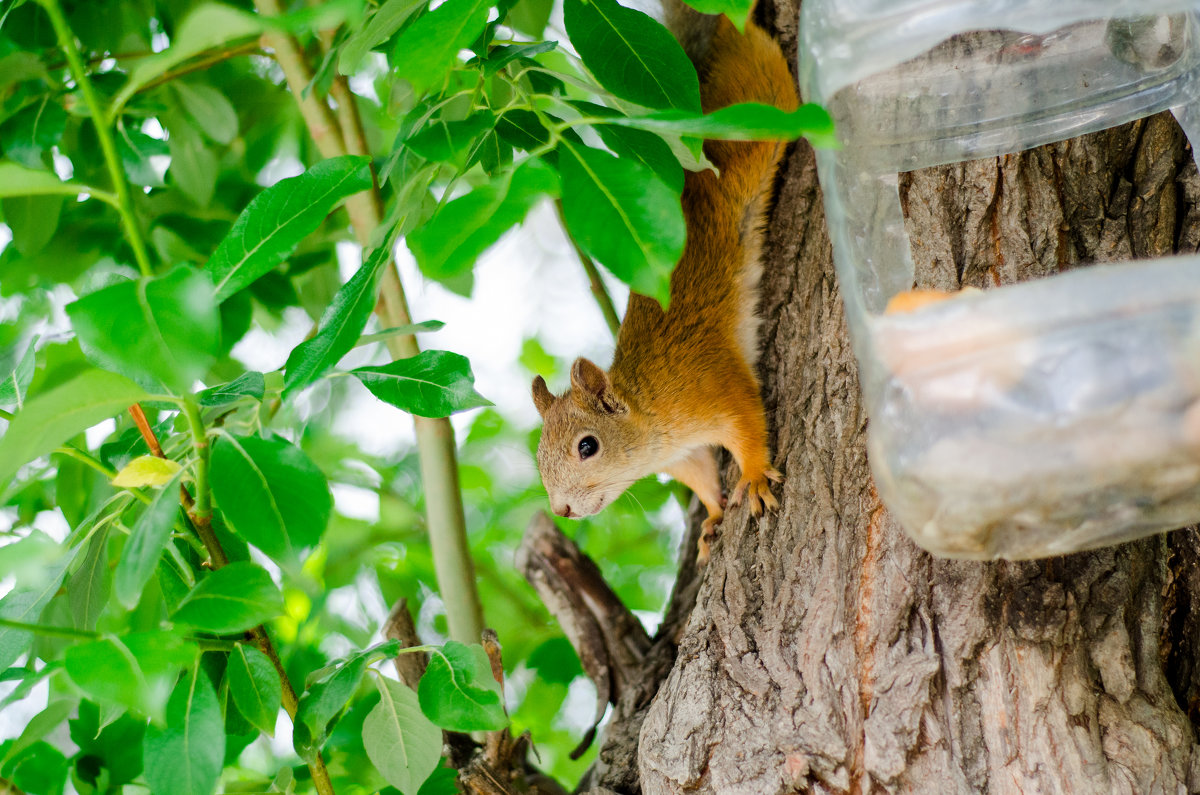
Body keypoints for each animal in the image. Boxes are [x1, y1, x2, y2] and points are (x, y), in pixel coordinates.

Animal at [532, 0, 796, 559]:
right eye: (539, 456)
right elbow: (703, 479)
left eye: (587, 446)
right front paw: (714, 517)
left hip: (763, 107)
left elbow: (748, 422)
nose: (562, 510)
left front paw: (753, 476)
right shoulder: (684, 455)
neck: (650, 414)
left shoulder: (711, 385)